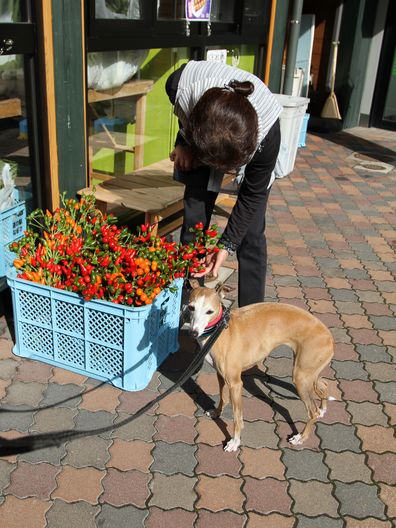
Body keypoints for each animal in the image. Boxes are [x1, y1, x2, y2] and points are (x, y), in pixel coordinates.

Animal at [188, 284, 334, 454]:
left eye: (209, 311)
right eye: (191, 307)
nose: (193, 332)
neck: (220, 330)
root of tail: (329, 337)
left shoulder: (235, 384)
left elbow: (237, 417)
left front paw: (235, 442)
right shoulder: (221, 375)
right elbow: (223, 398)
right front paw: (216, 413)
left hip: (300, 377)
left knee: (312, 411)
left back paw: (300, 437)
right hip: (308, 372)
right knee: (324, 385)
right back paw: (323, 410)